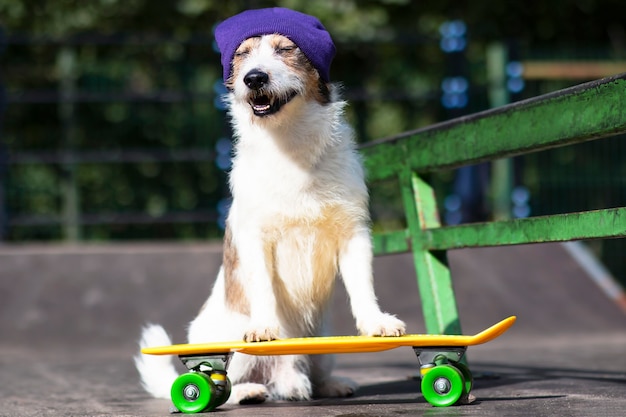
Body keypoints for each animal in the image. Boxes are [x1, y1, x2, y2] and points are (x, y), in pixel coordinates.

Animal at [133, 5, 402, 404]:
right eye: (243, 55)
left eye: (285, 49)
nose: (254, 78)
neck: (290, 147)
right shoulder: (255, 239)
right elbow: (261, 287)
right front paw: (263, 325)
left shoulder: (354, 234)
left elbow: (362, 285)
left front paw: (376, 322)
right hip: (229, 350)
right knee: (215, 378)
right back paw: (248, 390)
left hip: (323, 345)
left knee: (310, 370)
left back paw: (326, 384)